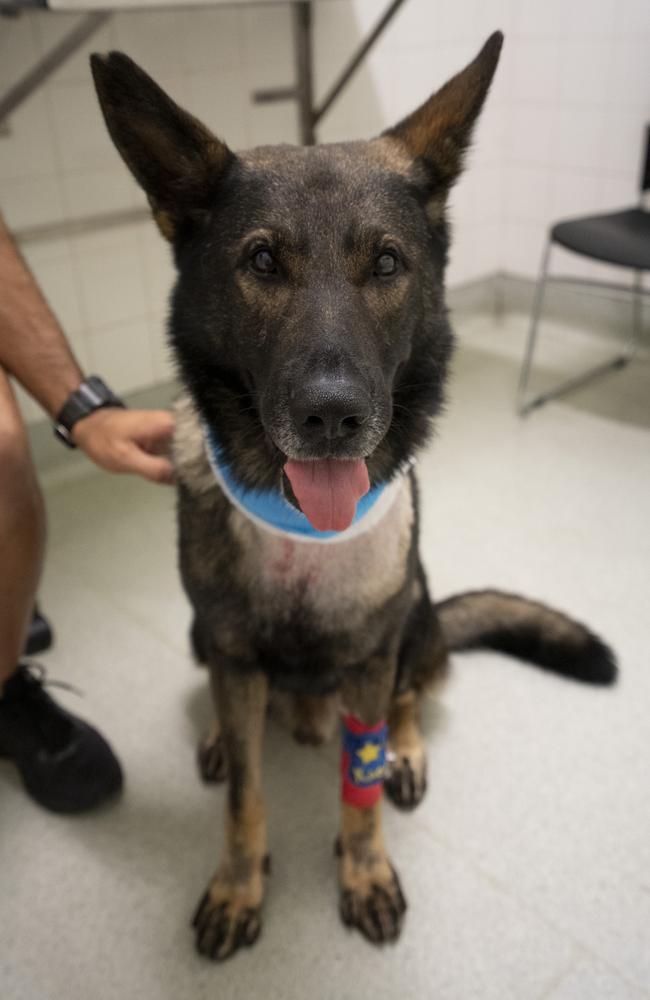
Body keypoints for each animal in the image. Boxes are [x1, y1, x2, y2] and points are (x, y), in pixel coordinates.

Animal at [90, 33, 612, 960]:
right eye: (262, 261)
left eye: (388, 264)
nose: (332, 416)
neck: (302, 532)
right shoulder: (231, 652)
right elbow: (246, 797)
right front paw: (239, 883)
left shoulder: (372, 655)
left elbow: (358, 795)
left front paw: (364, 871)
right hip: (204, 637)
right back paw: (225, 733)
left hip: (417, 614)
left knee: (414, 689)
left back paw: (403, 751)